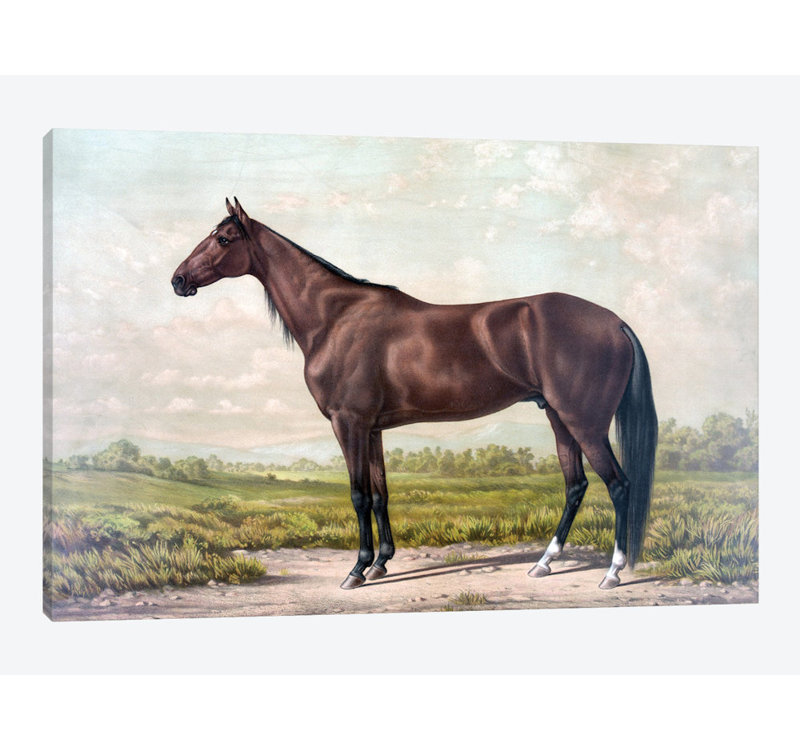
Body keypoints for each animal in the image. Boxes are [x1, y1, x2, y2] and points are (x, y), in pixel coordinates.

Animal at [172, 198, 658, 591]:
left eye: (223, 238)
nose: (178, 280)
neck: (335, 318)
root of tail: (615, 322)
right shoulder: (371, 430)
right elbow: (380, 494)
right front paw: (381, 563)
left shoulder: (348, 424)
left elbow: (358, 495)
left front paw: (356, 570)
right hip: (558, 417)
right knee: (575, 486)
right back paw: (544, 563)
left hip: (584, 422)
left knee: (617, 485)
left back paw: (612, 572)